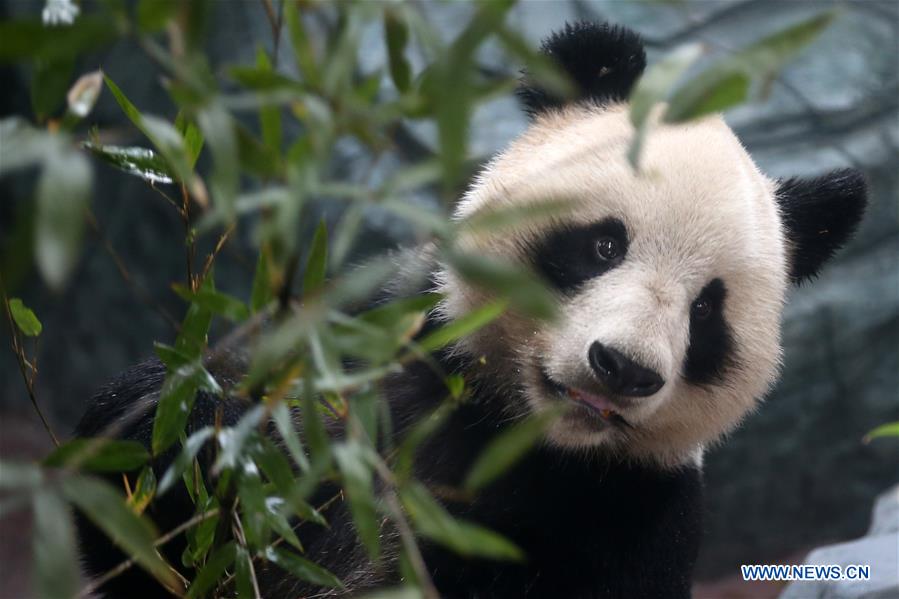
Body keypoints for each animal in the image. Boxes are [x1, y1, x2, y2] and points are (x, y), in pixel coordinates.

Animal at [75, 19, 864, 599]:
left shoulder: (633, 511)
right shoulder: (373, 341)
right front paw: (189, 425)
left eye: (705, 312)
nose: (622, 367)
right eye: (604, 244)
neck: (503, 422)